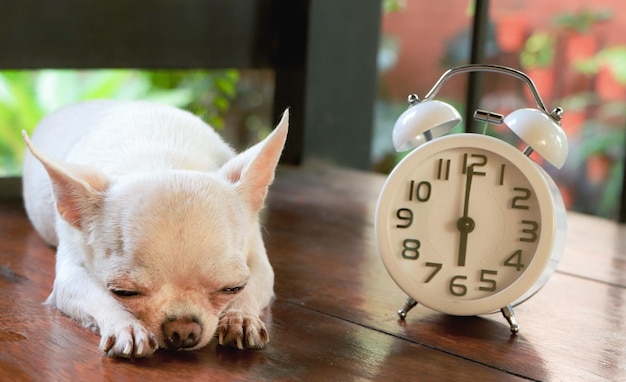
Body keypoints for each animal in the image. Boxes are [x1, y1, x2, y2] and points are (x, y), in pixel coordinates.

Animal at [20, 100, 286, 358]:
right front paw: (126, 326)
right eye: (124, 292)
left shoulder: (260, 262)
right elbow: (99, 297)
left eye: (231, 288)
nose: (183, 330)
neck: (162, 160)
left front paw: (241, 318)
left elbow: (252, 289)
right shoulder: (69, 277)